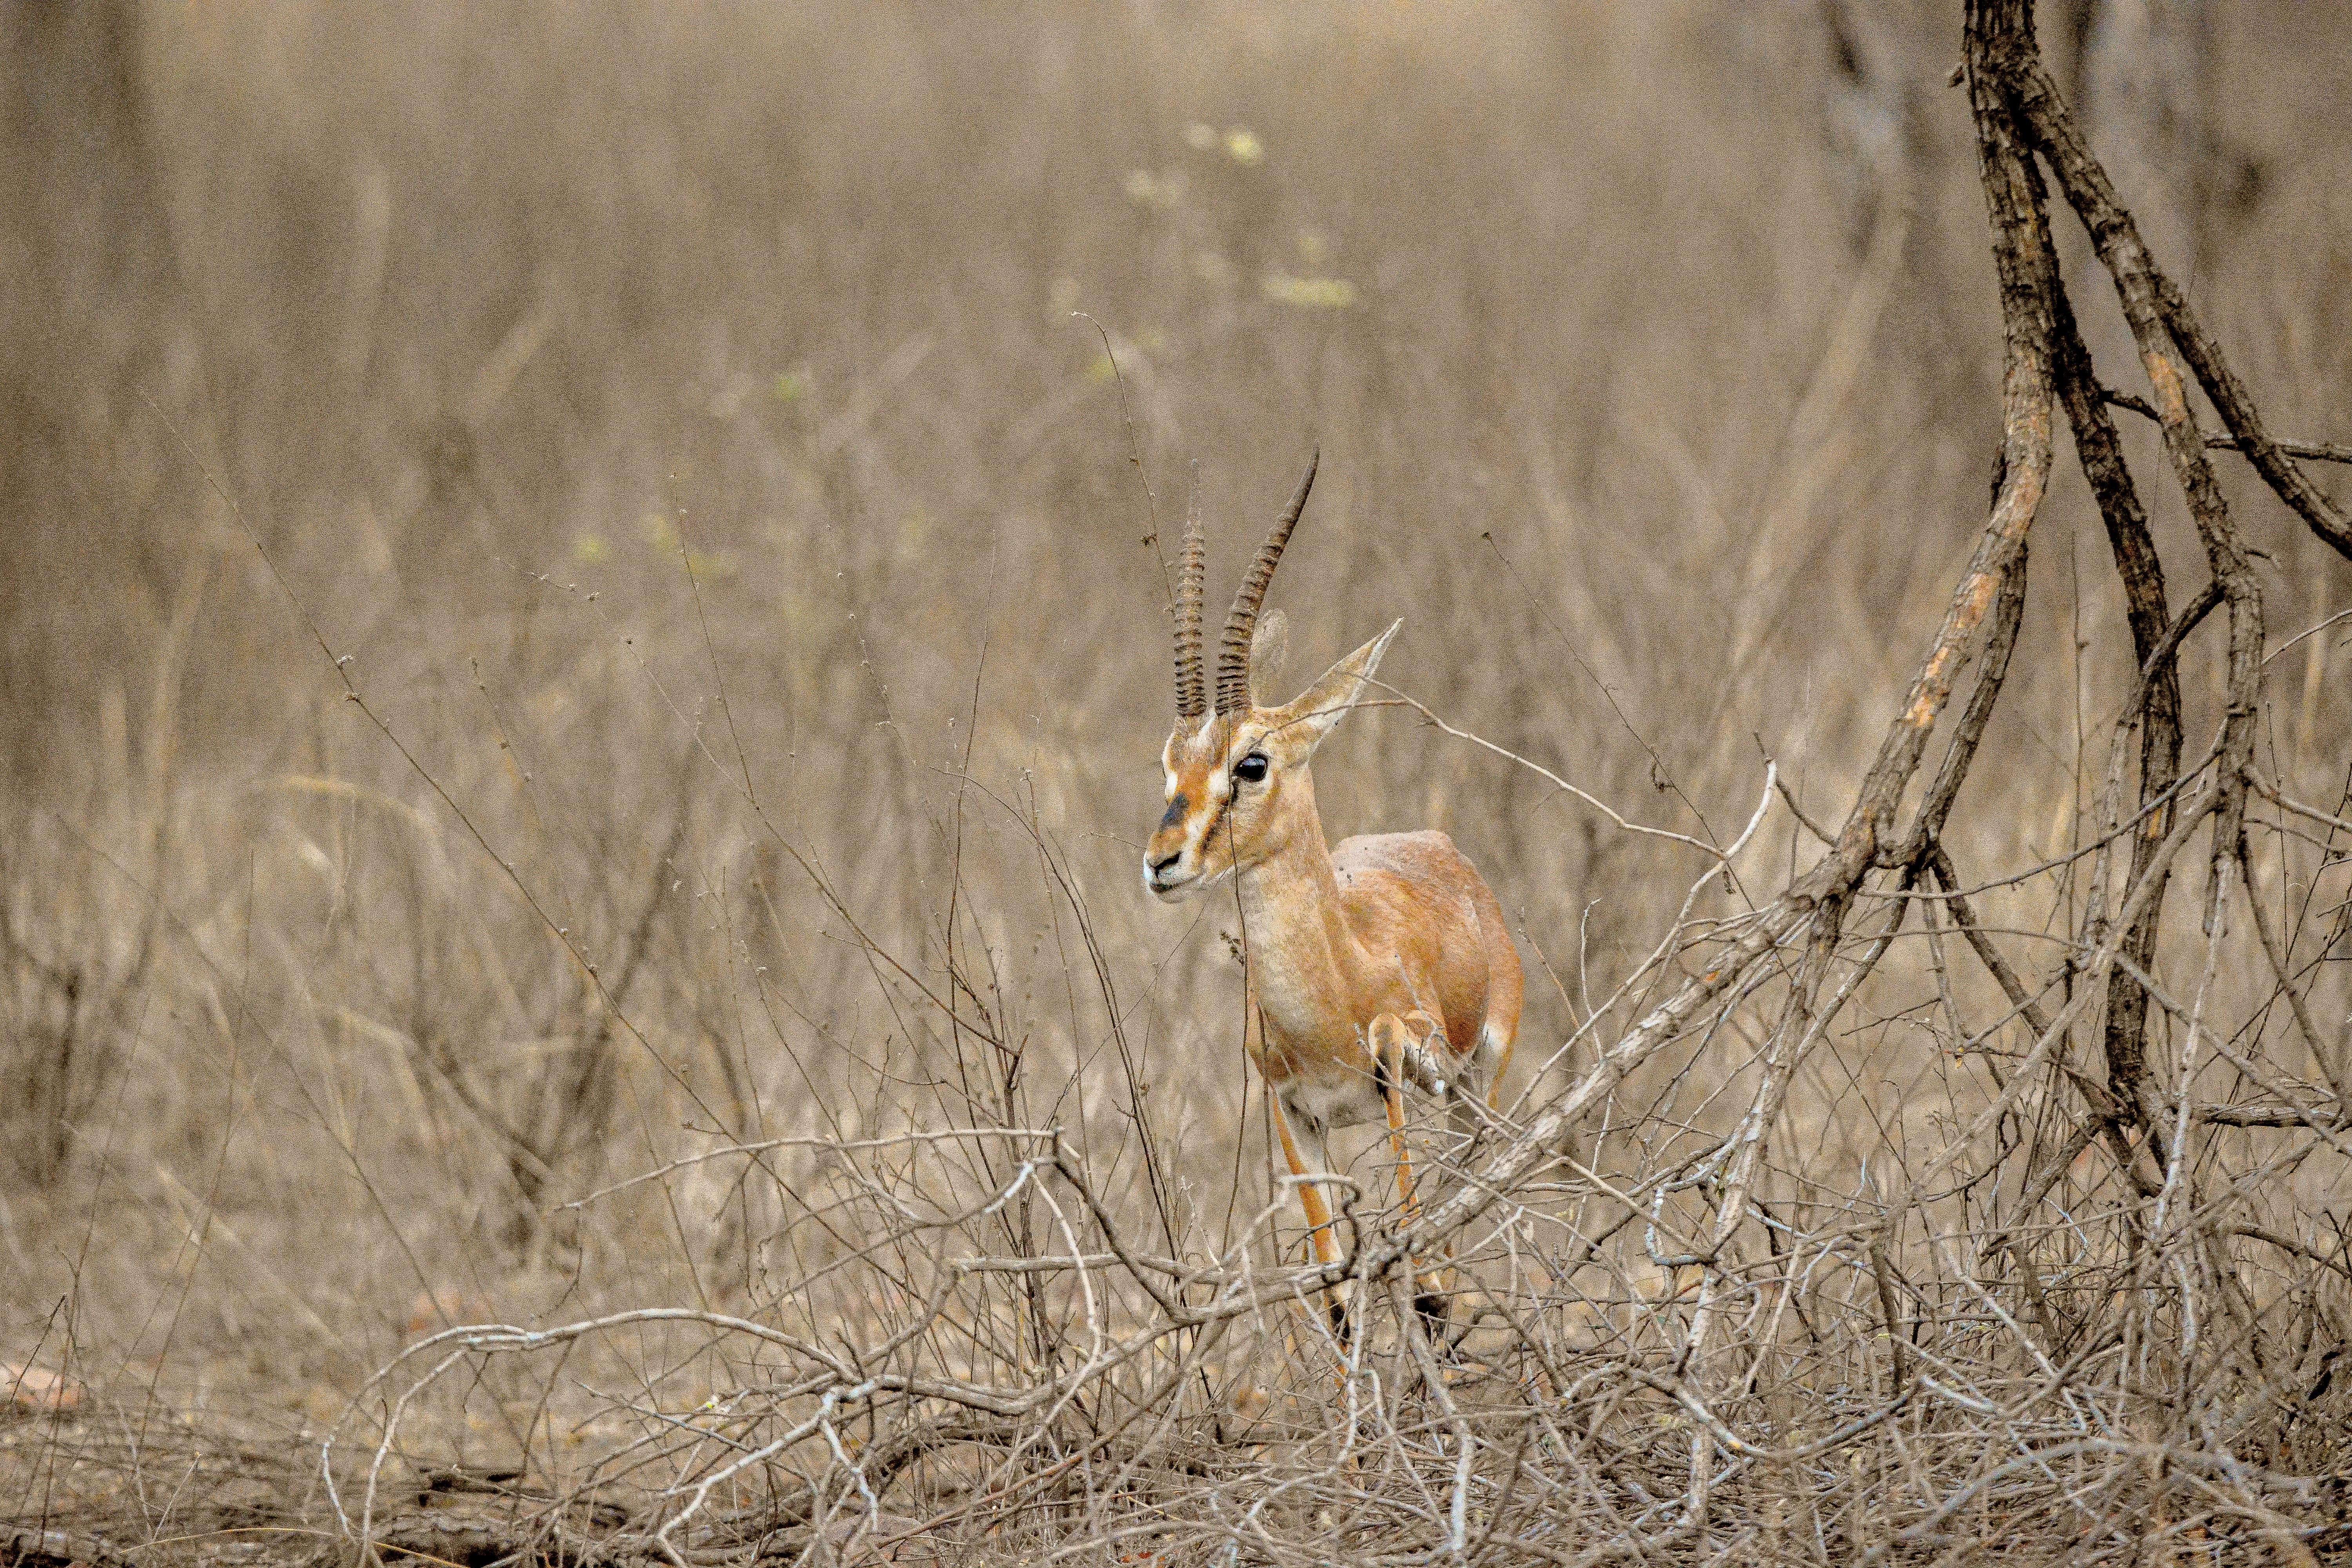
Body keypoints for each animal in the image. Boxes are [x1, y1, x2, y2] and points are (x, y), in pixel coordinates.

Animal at [1143, 454, 1522, 1329]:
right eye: (1169, 762)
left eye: (1251, 763)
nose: (1161, 861)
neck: (1331, 990)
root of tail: (1442, 848)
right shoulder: (1295, 1113)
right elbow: (1338, 1294)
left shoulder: (1402, 1082)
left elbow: (1423, 1281)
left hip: (1473, 1094)